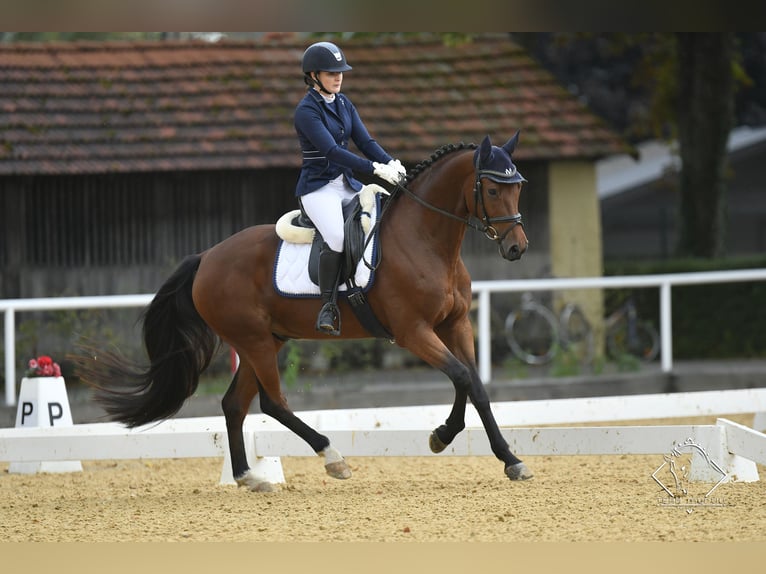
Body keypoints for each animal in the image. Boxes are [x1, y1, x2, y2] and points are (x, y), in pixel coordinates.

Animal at [78, 133, 536, 492]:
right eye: (492, 191)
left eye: (518, 188)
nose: (517, 248)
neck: (424, 239)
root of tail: (206, 257)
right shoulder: (413, 332)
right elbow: (462, 378)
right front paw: (455, 441)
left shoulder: (455, 325)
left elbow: (475, 385)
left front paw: (497, 454)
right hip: (255, 341)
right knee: (272, 402)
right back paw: (332, 457)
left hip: (267, 339)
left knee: (234, 404)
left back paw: (249, 477)